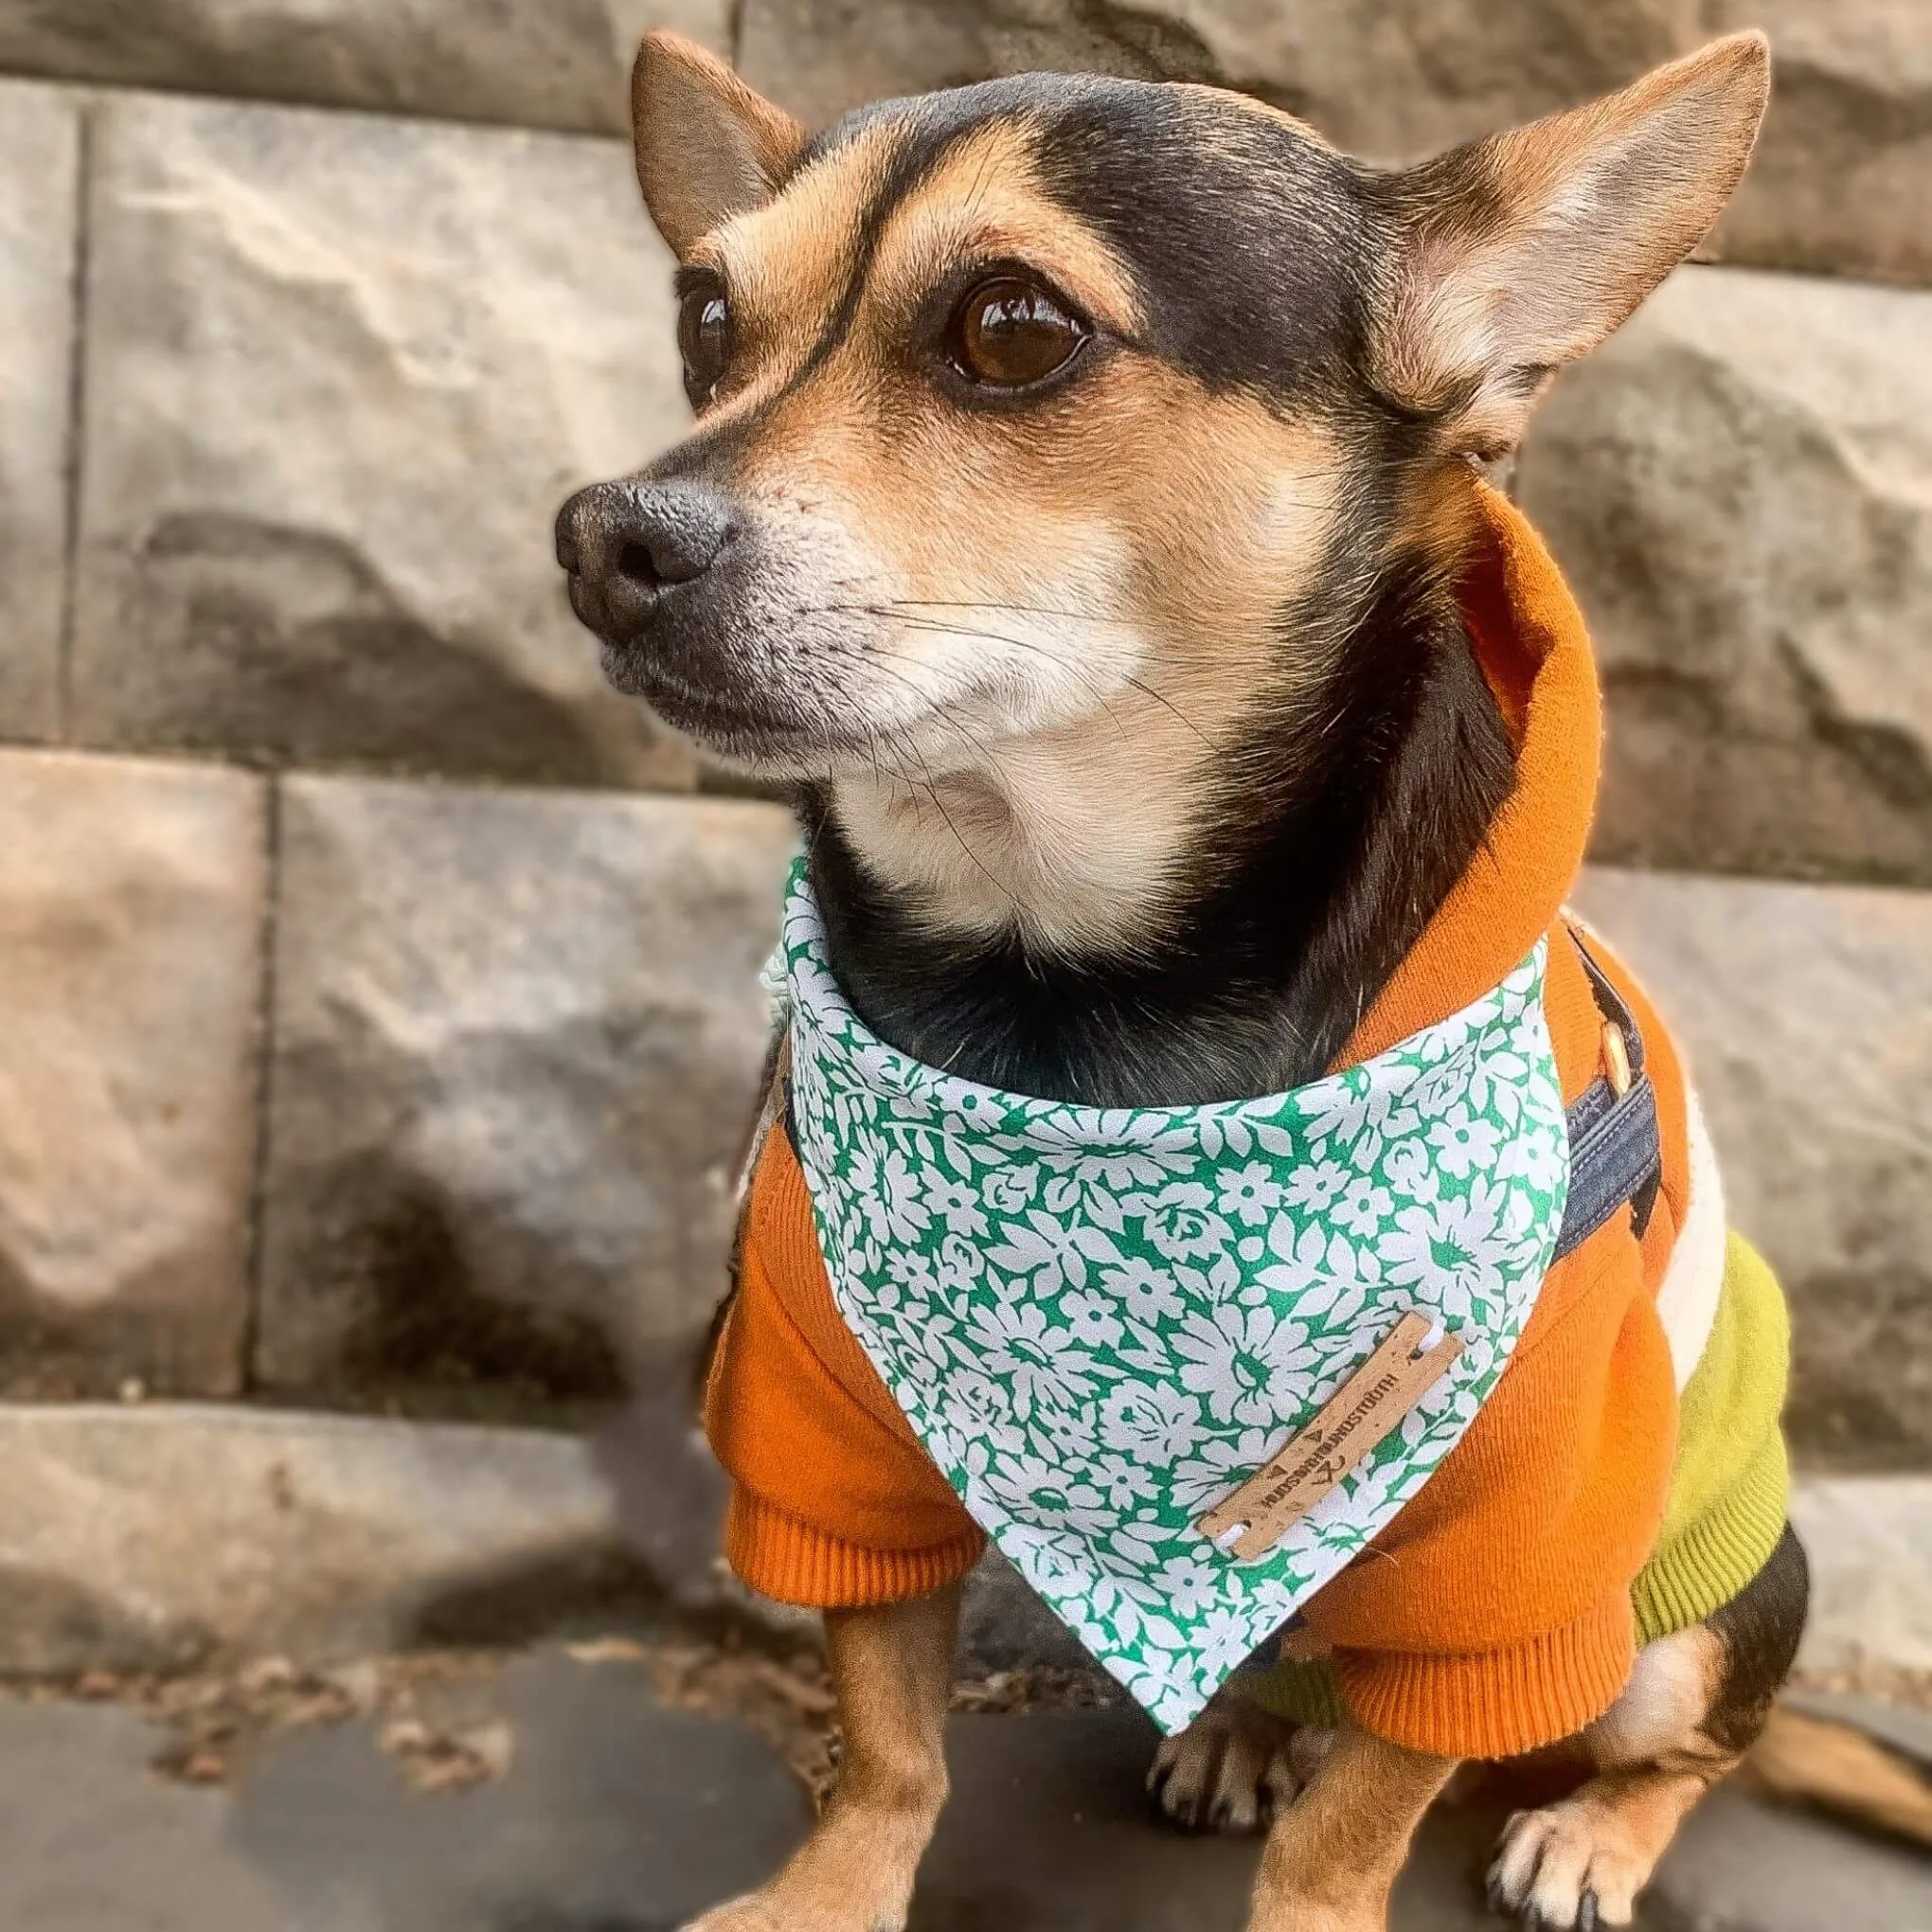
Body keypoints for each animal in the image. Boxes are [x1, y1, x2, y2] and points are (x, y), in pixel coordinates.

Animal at [556, 29, 1808, 1932]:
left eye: (1012, 328)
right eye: (705, 318)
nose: (604, 536)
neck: (1061, 994)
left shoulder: (1503, 1576)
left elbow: (1356, 1831)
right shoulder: (828, 1438)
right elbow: (887, 1730)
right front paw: (830, 1892)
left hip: (1685, 1629)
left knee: (1682, 1748)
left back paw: (1591, 1829)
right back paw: (1238, 1731)